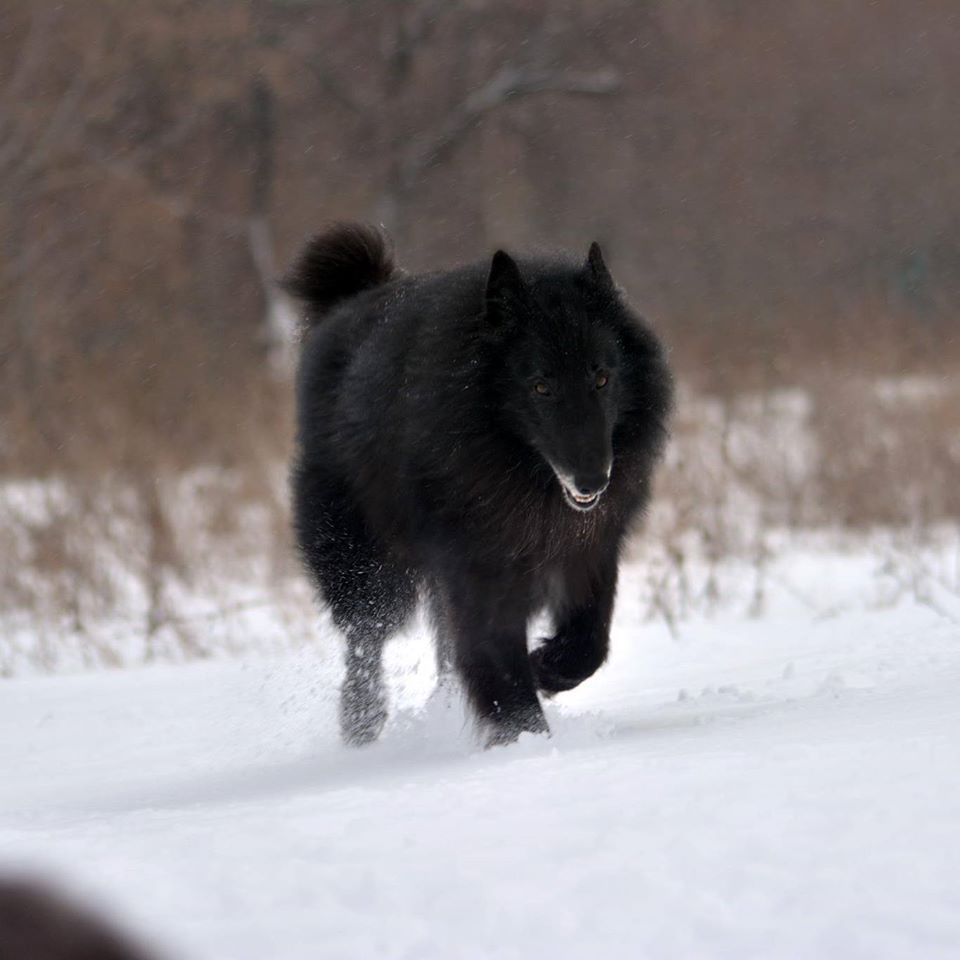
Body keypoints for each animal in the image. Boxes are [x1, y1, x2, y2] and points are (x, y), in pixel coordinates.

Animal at [288, 223, 672, 744]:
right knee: (365, 639)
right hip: (365, 565)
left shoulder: (586, 553)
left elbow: (588, 644)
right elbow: (500, 668)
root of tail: (353, 297)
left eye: (601, 377)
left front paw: (545, 669)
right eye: (541, 386)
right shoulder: (481, 572)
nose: (593, 479)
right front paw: (526, 742)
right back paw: (362, 721)